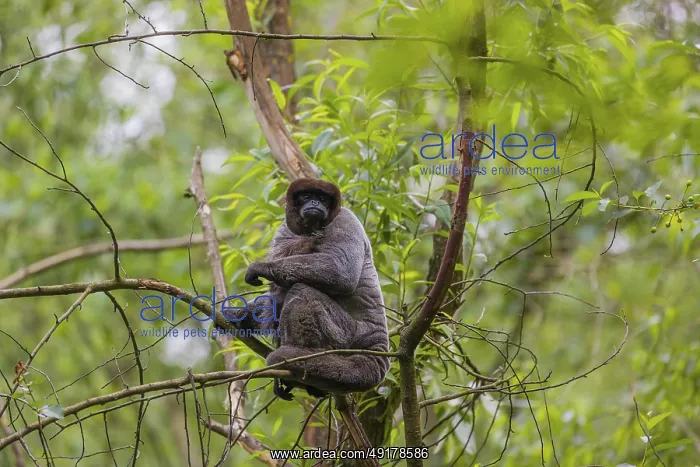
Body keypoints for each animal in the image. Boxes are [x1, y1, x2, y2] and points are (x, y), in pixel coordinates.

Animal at [243, 179, 390, 400]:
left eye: (322, 198)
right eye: (306, 196)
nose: (315, 202)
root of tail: (378, 341)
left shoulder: (344, 219)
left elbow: (341, 272)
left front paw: (261, 267)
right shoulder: (284, 232)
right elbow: (273, 300)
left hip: (347, 336)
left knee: (303, 290)